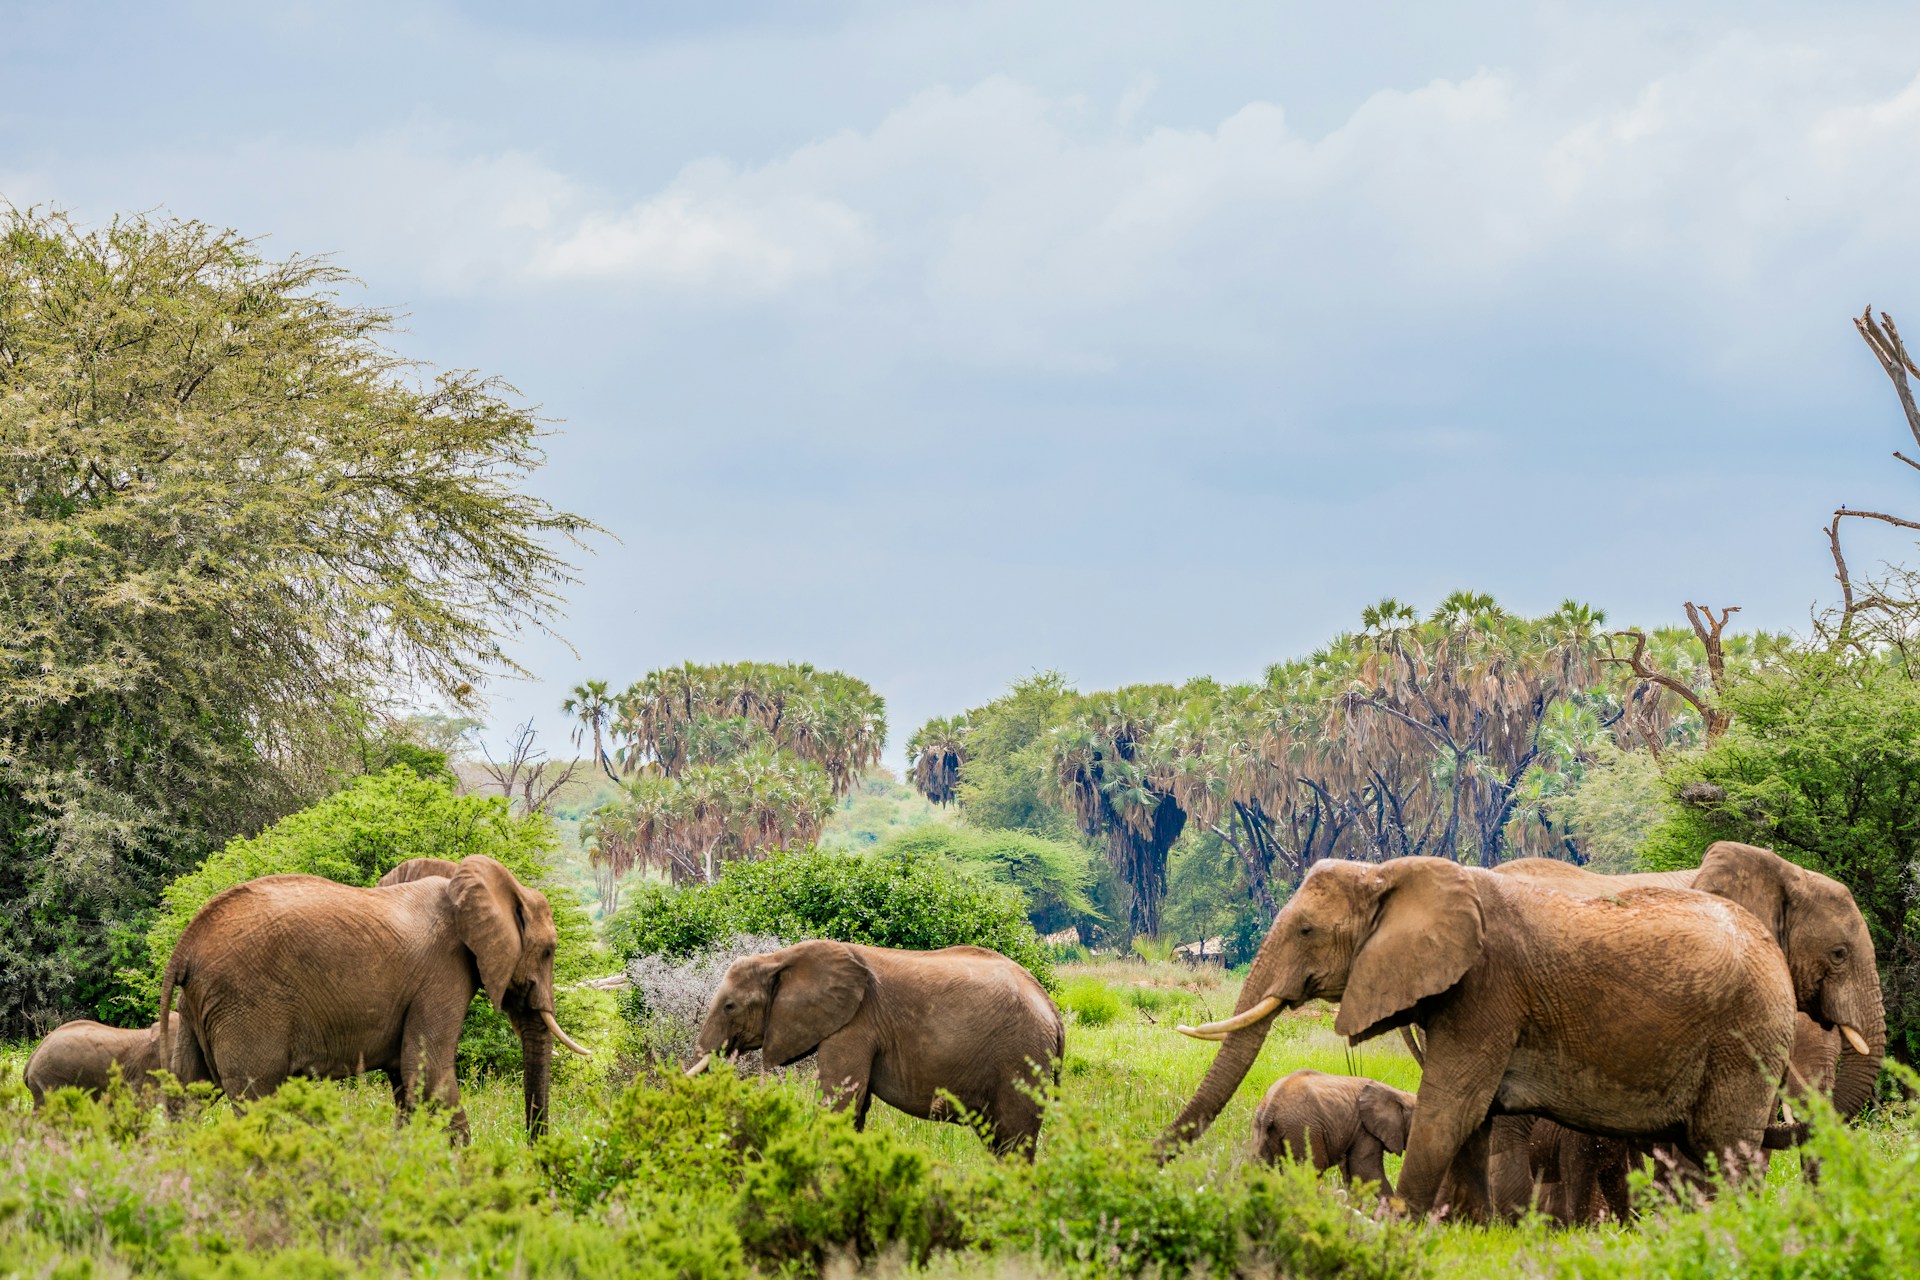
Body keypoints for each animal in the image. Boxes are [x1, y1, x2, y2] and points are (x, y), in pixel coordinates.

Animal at [158, 853, 589, 1140]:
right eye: (548, 951)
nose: (534, 1154)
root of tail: (184, 946)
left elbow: (406, 1082)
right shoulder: (442, 974)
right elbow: (428, 1076)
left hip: (197, 1008)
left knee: (189, 1096)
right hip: (246, 1004)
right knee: (255, 1099)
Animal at [687, 939, 1064, 1158]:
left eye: (730, 1007)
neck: (779, 958)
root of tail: (1053, 1011)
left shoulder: (855, 1024)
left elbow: (840, 1103)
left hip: (1020, 1057)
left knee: (1014, 1141)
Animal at [1253, 1069, 1414, 1193]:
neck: (1398, 1093)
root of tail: (1271, 1106)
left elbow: (1351, 1173)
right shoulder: (1365, 1130)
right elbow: (1365, 1170)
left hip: (1260, 1127)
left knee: (1260, 1167)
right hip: (1303, 1129)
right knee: (1311, 1171)